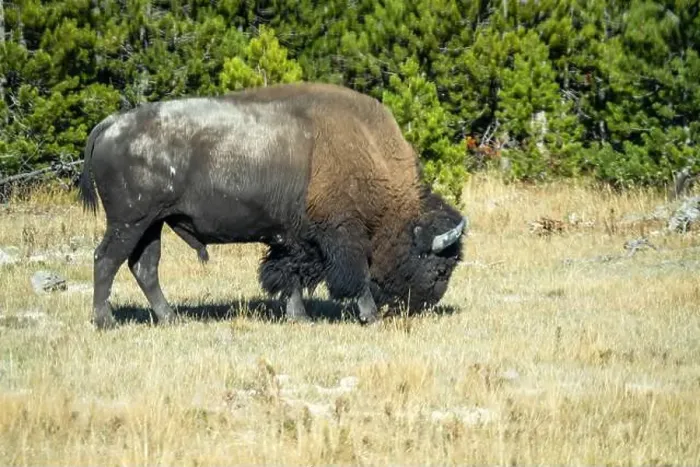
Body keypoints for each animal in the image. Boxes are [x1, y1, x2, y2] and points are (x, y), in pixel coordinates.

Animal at [78, 82, 468, 329]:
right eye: (439, 268)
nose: (425, 305)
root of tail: (110, 124)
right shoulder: (343, 235)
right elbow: (354, 276)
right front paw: (368, 316)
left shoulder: (292, 238)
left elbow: (288, 275)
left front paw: (299, 316)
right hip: (130, 222)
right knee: (106, 260)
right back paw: (106, 321)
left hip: (152, 225)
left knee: (144, 267)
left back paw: (171, 318)